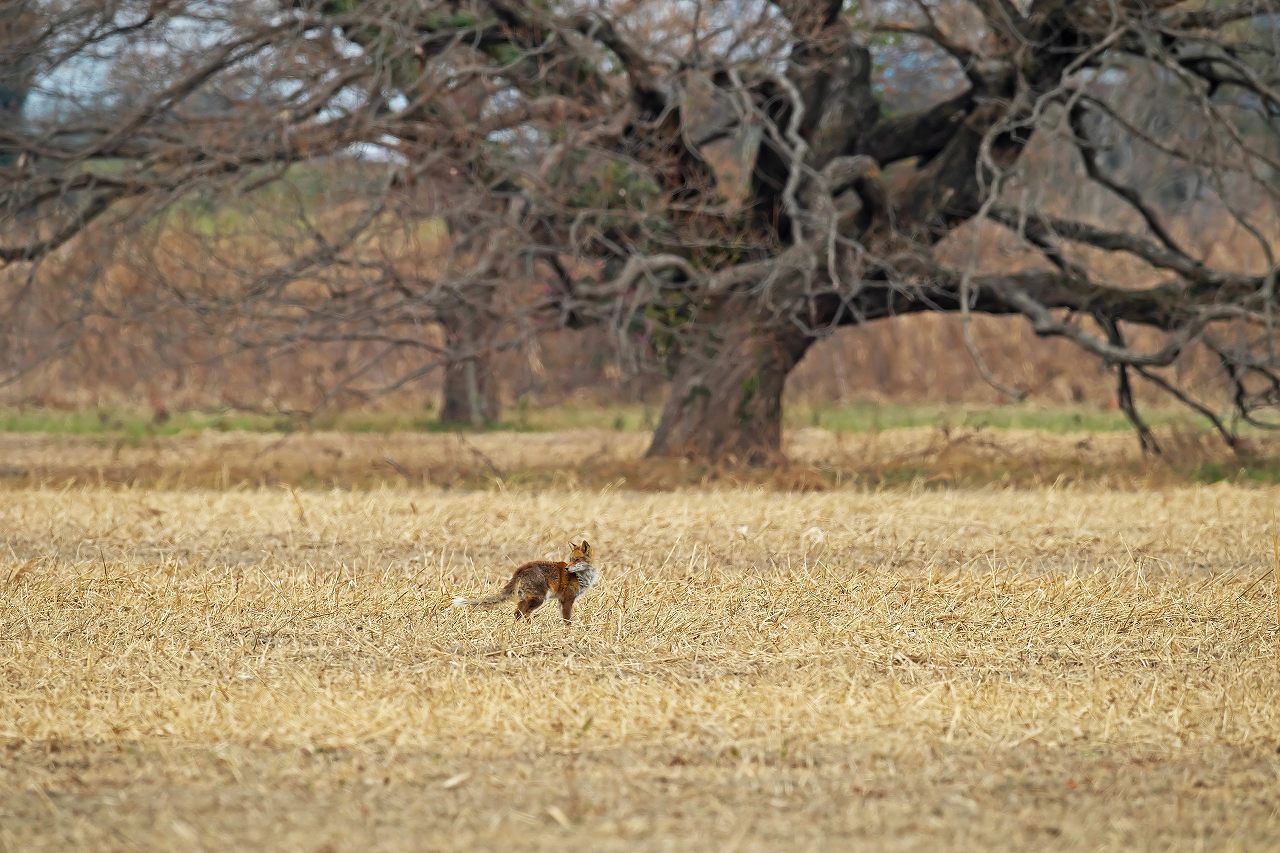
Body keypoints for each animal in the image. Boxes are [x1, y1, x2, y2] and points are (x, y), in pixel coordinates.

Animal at [453, 540, 601, 622]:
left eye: (576, 560)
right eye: (570, 559)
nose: (566, 568)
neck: (581, 576)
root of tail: (520, 569)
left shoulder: (561, 600)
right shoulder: (567, 599)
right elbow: (567, 620)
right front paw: (569, 632)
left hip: (528, 597)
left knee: (518, 612)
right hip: (538, 598)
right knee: (523, 612)